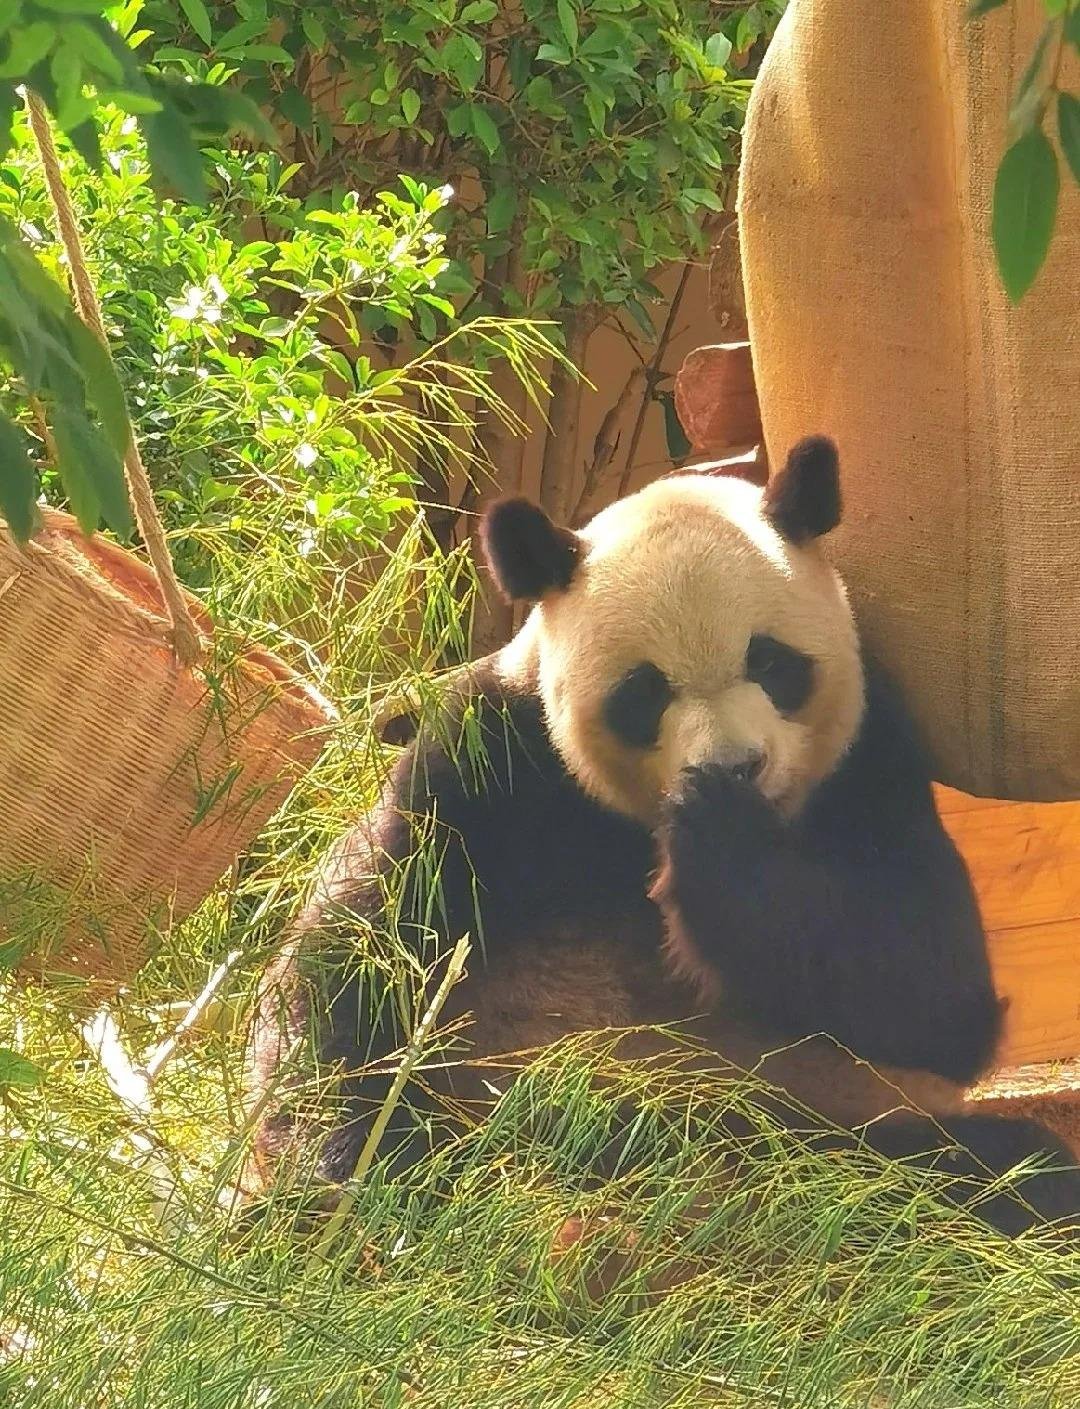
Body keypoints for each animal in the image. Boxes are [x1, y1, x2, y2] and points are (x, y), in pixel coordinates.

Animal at [244, 436, 1080, 1238]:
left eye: (770, 660)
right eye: (645, 691)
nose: (735, 765)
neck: (632, 825)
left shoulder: (870, 763)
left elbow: (933, 998)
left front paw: (721, 836)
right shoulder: (493, 756)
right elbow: (360, 940)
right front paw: (339, 1170)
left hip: (828, 1126)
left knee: (998, 1173)